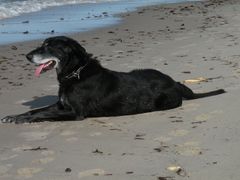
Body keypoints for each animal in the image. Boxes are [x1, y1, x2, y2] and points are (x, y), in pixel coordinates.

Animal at [0, 36, 225, 124]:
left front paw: (20, 120)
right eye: (42, 44)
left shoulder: (75, 112)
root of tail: (175, 82)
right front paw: (14, 115)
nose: (27, 56)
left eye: (48, 46)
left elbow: (42, 114)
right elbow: (36, 110)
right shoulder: (61, 105)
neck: (75, 73)